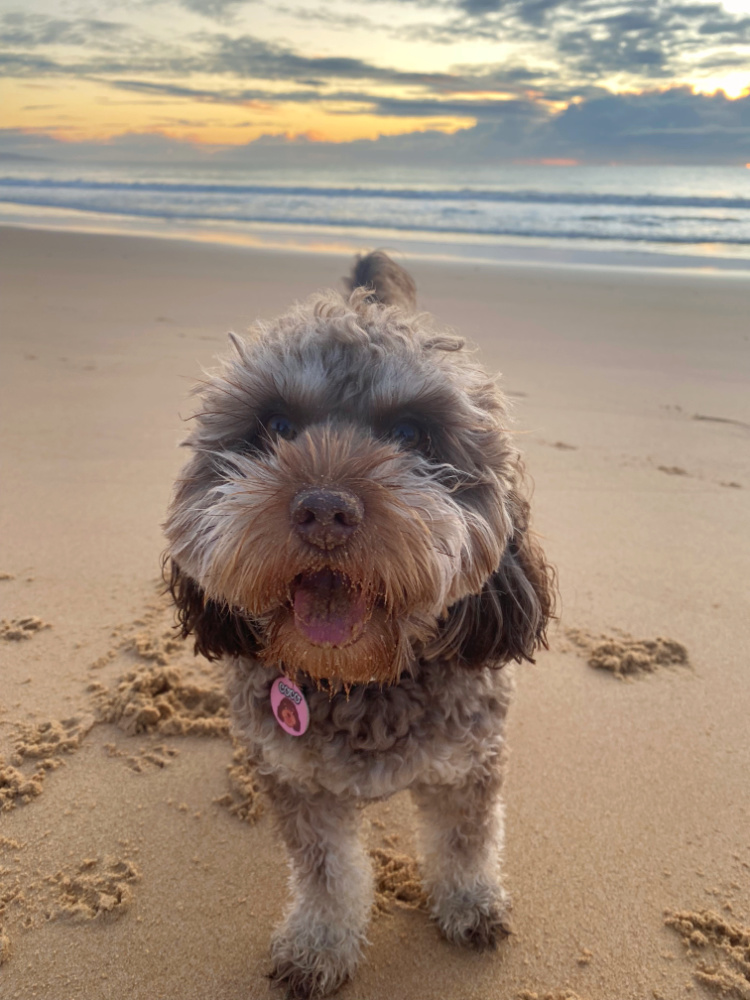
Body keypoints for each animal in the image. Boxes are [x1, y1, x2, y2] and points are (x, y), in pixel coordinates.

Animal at [164, 252, 556, 1000]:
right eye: (276, 425)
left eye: (410, 434)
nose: (324, 510)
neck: (362, 680)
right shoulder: (301, 783)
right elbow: (326, 874)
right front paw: (320, 946)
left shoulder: (468, 763)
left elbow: (465, 843)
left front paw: (470, 904)